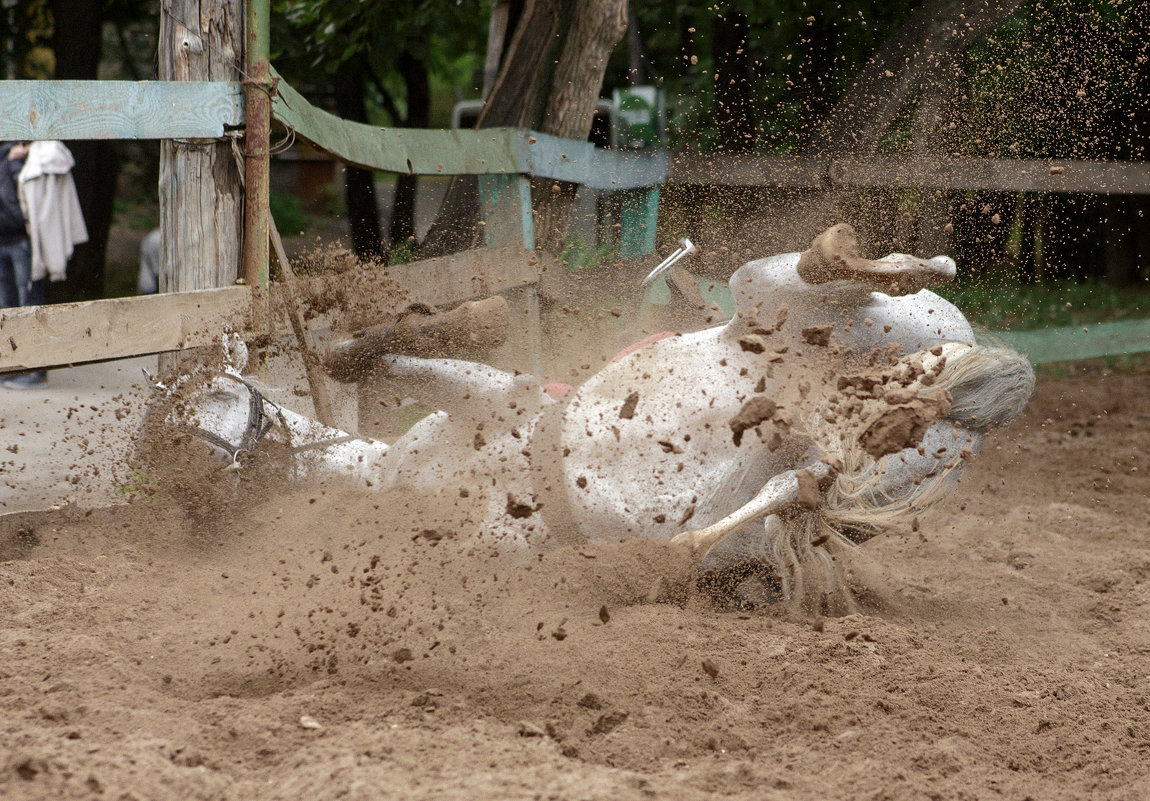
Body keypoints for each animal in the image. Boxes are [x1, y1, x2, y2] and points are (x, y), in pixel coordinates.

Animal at [159, 221, 1035, 602]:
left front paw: (465, 318)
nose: (196, 476)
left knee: (859, 268)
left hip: (782, 294)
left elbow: (379, 352)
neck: (397, 477)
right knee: (808, 476)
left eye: (210, 395)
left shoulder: (489, 395)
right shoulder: (503, 533)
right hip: (904, 454)